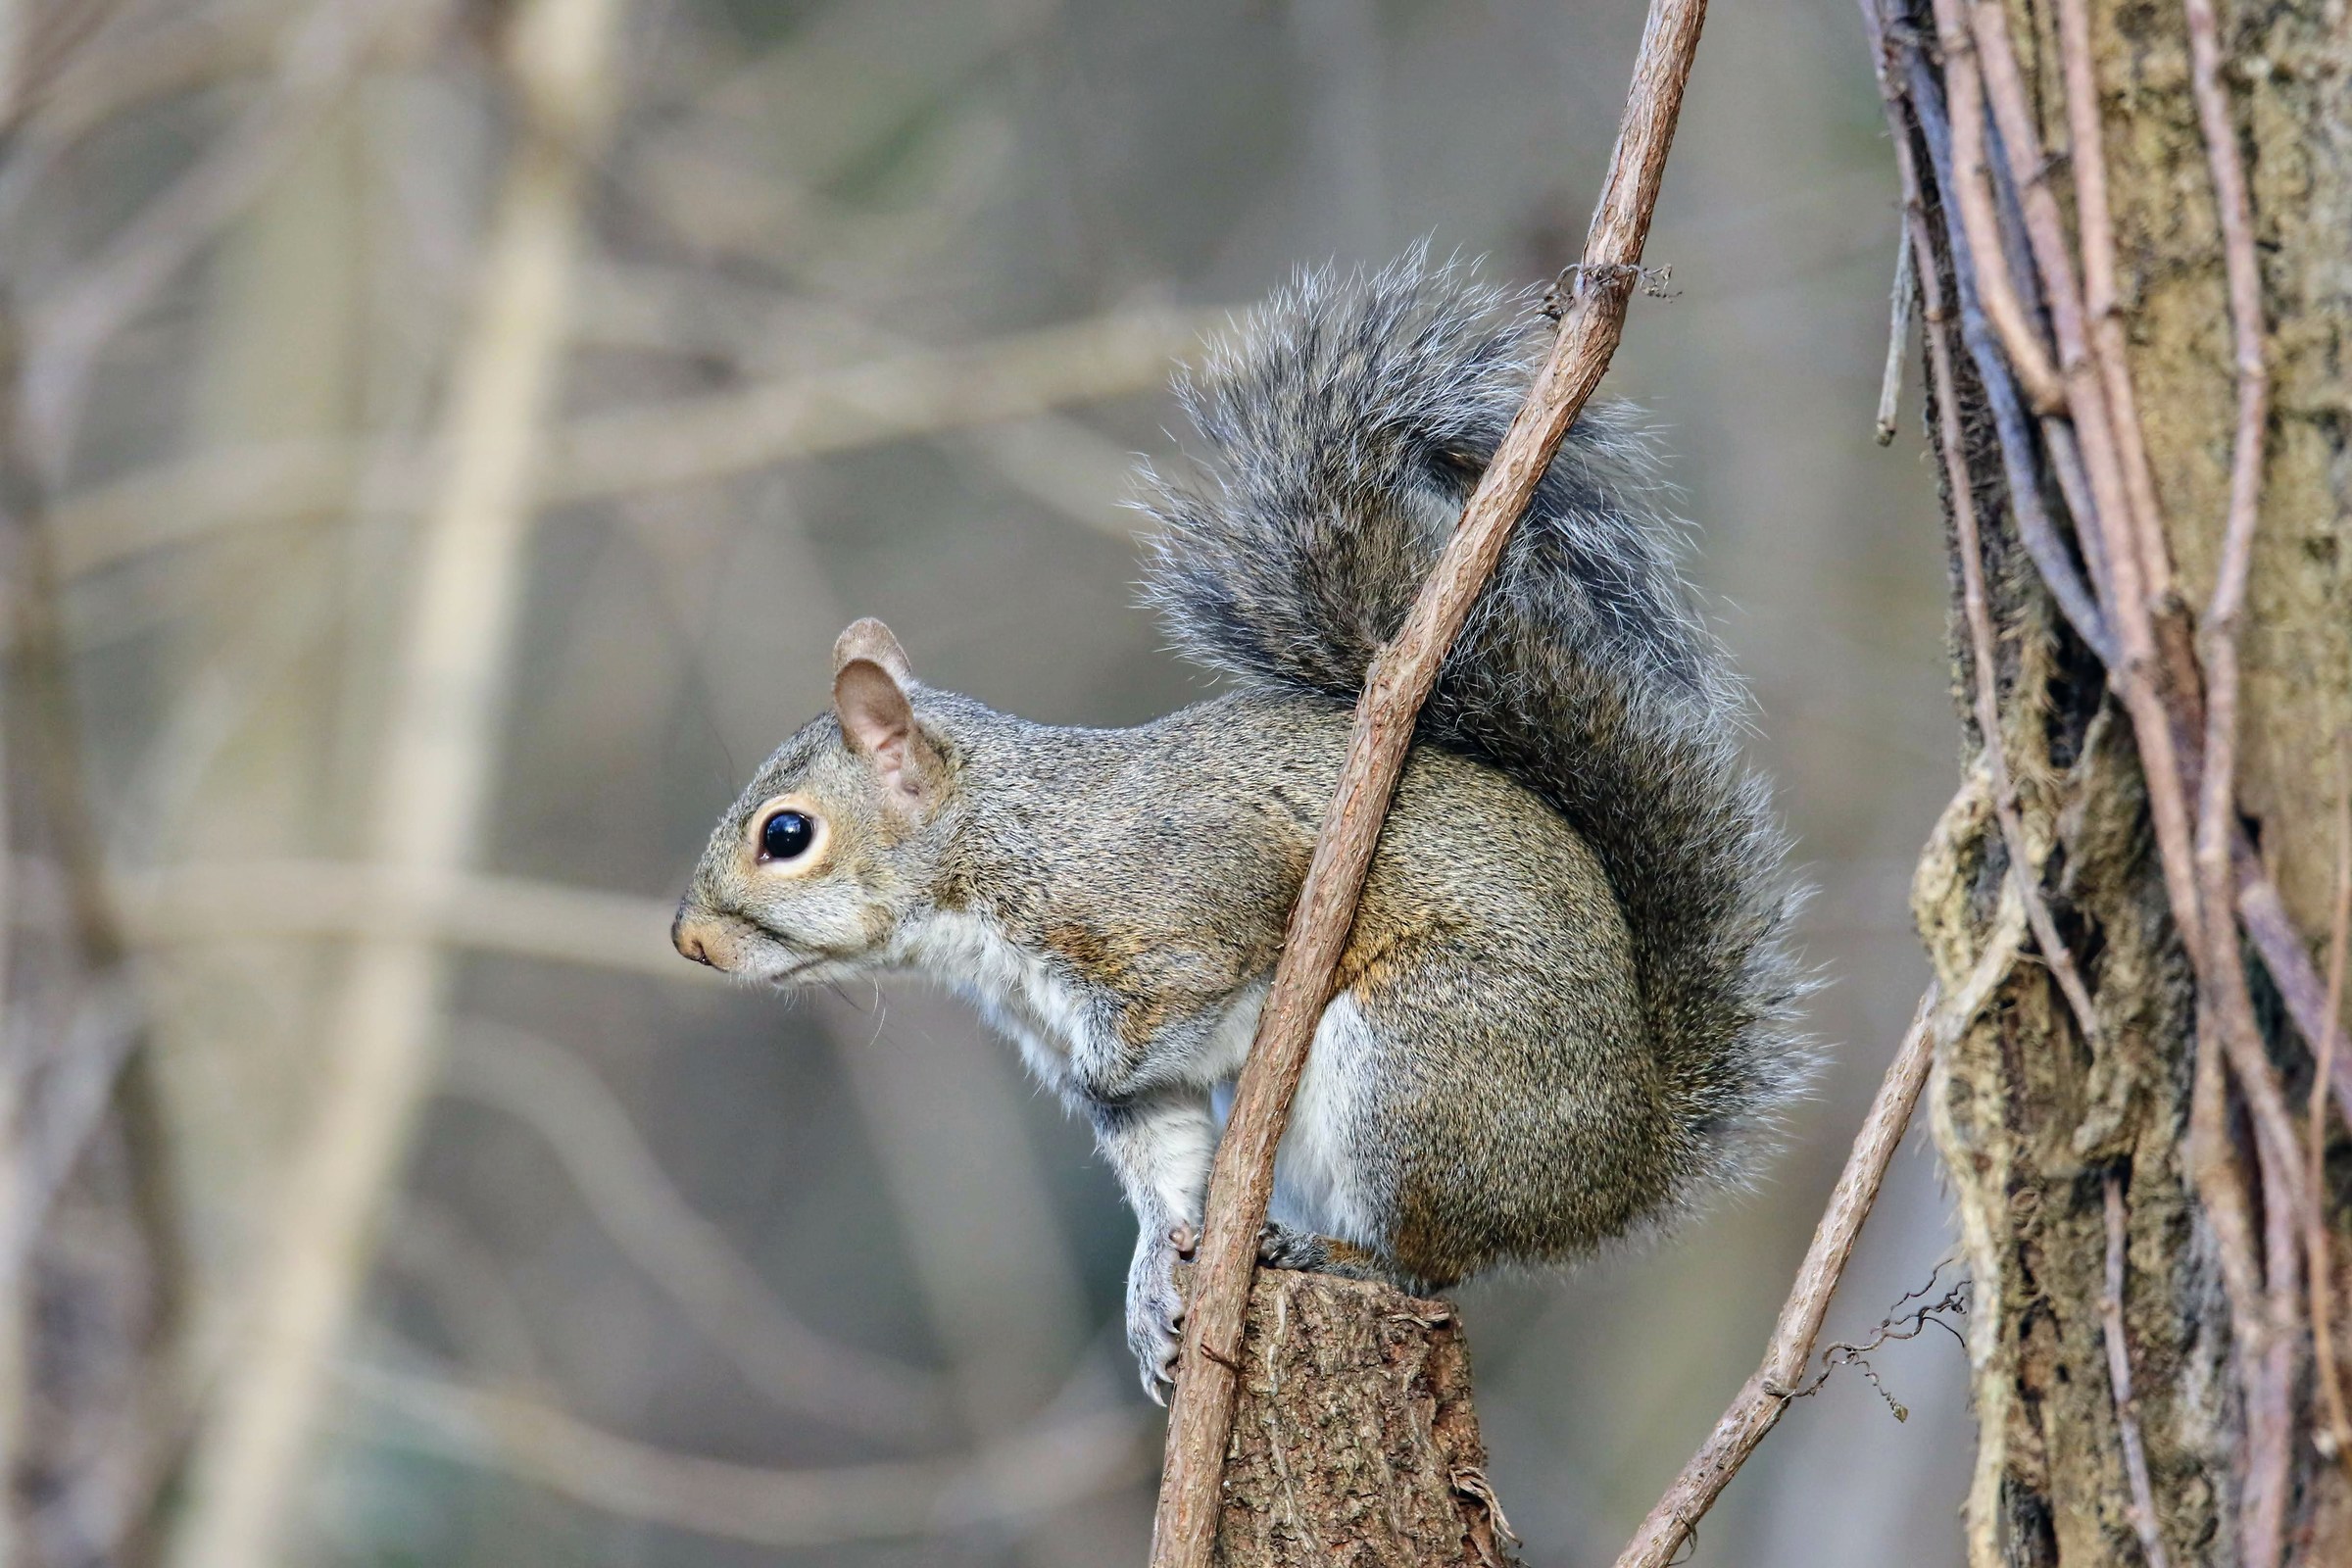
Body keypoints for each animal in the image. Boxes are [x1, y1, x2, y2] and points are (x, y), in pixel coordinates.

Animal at [672, 256, 1810, 1402]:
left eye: (785, 835)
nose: (687, 941)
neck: (1000, 851)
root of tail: (1625, 1165)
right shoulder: (1139, 1080)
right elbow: (1161, 1151)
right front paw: (1149, 1290)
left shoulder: (1181, 900)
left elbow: (1191, 987)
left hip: (1421, 1064)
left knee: (1431, 1264)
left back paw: (1337, 1252)